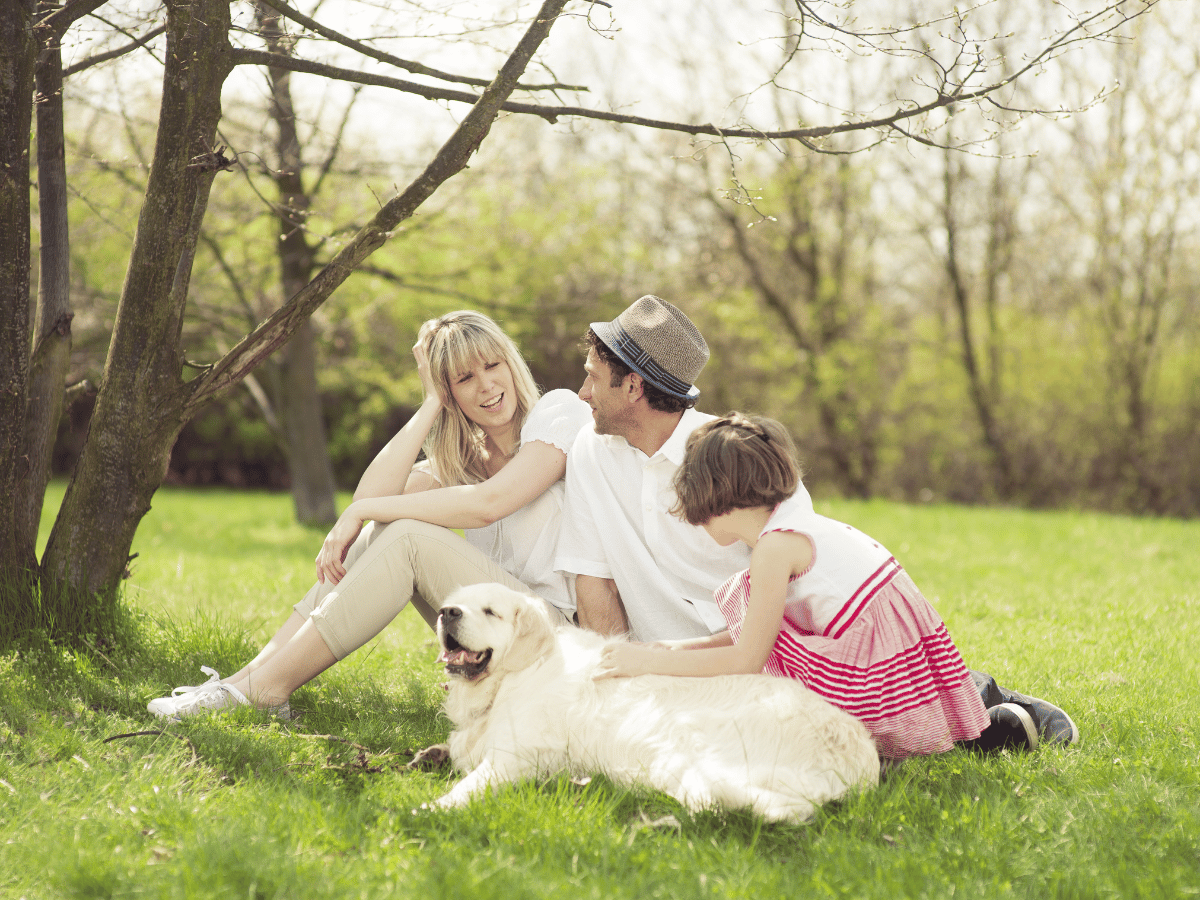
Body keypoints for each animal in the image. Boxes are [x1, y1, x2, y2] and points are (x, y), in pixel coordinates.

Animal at [427, 585, 878, 825]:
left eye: (491, 611)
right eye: (456, 602)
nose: (447, 613)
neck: (512, 677)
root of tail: (863, 760)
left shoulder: (514, 759)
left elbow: (469, 784)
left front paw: (432, 808)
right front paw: (433, 754)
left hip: (685, 742)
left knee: (724, 805)